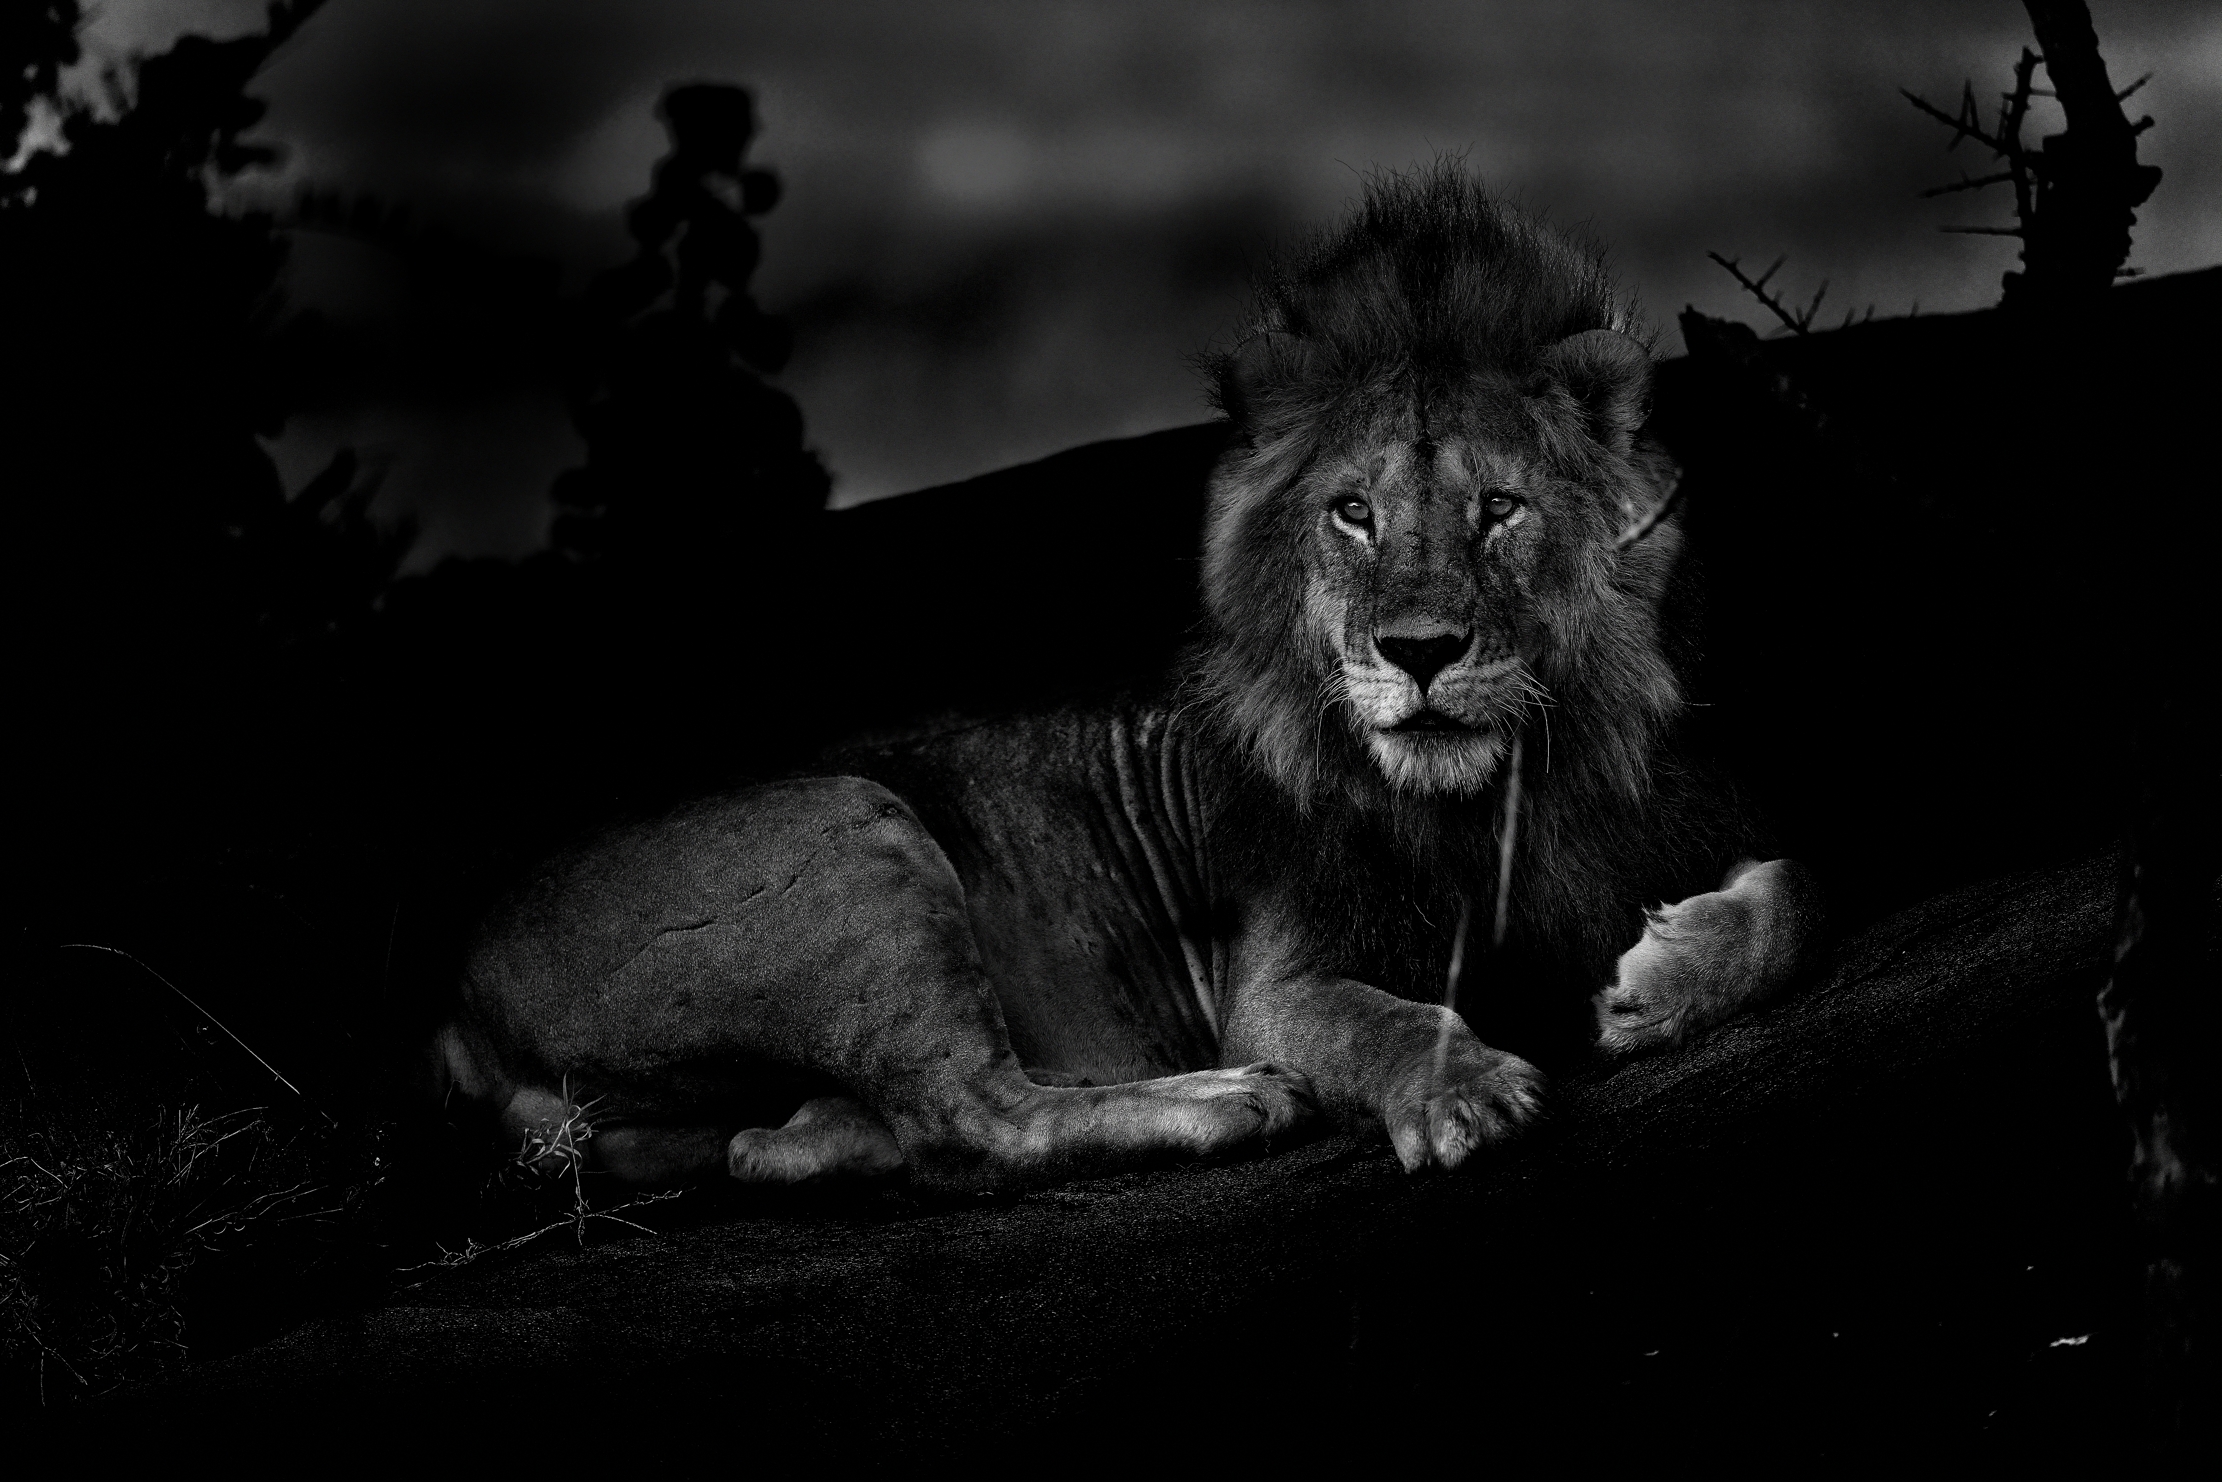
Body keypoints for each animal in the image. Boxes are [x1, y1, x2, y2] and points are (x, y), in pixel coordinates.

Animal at [436, 165, 1822, 1191]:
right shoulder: (1276, 978)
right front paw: (1464, 1090)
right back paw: (1223, 1101)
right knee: (973, 1118)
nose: (1417, 652)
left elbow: (1792, 898)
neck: (1496, 797)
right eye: (1353, 513)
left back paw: (816, 1135)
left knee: (822, 1143)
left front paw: (1656, 987)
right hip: (845, 828)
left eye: (1497, 511)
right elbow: (1380, 1019)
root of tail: (455, 994)